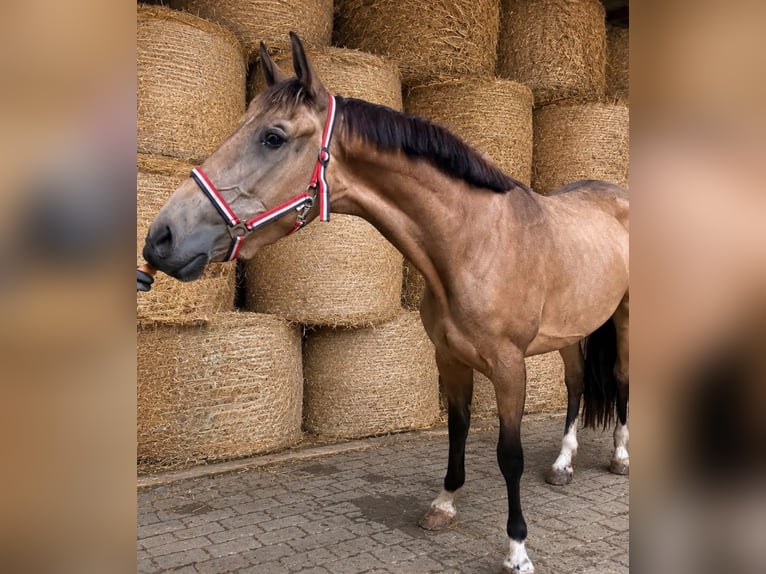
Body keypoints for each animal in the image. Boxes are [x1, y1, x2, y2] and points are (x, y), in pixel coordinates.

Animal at [141, 33, 629, 573]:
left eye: (273, 137)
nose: (161, 238)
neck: (476, 242)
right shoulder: (449, 359)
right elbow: (457, 430)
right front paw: (444, 505)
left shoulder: (508, 367)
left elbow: (509, 455)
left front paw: (517, 549)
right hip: (571, 330)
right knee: (576, 383)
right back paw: (563, 464)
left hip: (625, 320)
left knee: (621, 380)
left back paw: (620, 458)